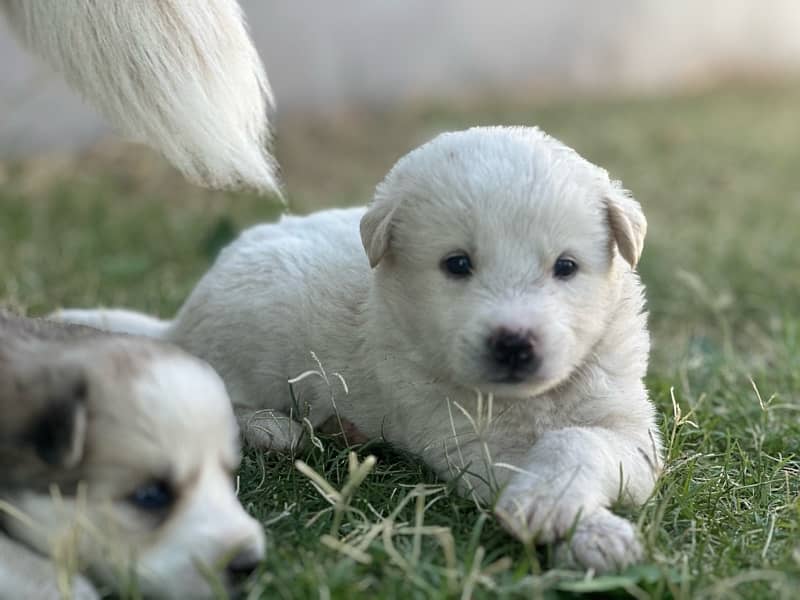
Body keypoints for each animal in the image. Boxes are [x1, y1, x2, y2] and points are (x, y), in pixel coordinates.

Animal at [59, 127, 664, 572]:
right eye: (457, 264)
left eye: (566, 266)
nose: (514, 344)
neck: (529, 401)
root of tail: (178, 320)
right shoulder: (469, 442)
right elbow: (536, 459)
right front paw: (579, 525)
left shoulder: (631, 426)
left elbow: (580, 439)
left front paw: (573, 520)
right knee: (214, 388)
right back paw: (273, 429)